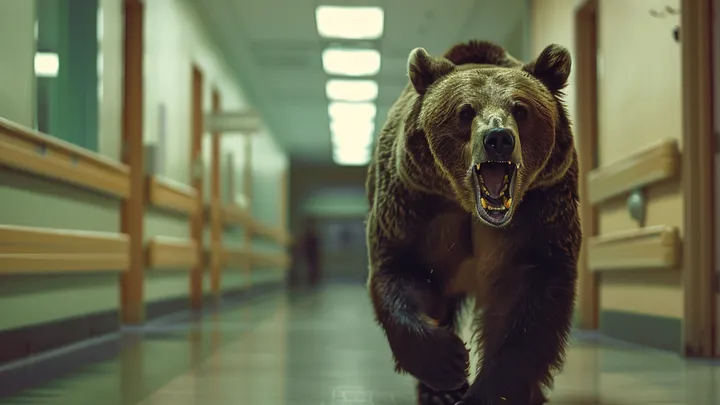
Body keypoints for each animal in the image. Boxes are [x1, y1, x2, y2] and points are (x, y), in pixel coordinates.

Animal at [365, 39, 580, 405]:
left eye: (520, 109)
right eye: (465, 112)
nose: (498, 138)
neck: (466, 204)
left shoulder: (542, 210)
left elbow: (529, 308)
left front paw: (489, 391)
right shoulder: (413, 202)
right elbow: (401, 270)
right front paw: (447, 362)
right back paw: (438, 392)